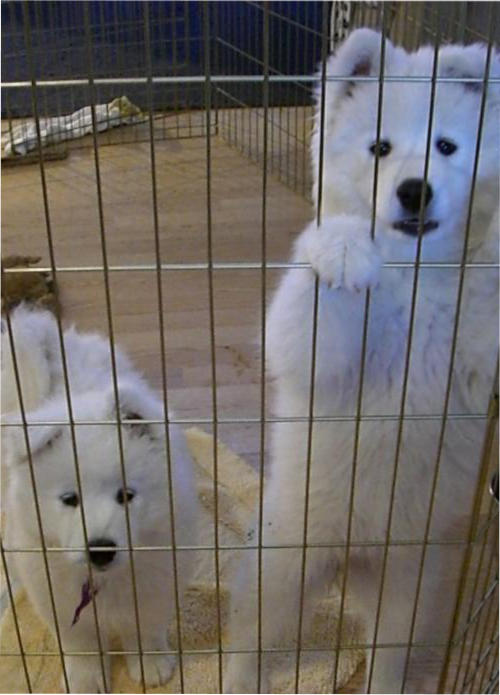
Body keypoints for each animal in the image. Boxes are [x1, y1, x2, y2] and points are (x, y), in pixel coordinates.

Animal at [2, 305, 199, 692]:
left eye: (126, 495)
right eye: (69, 499)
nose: (101, 550)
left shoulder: (157, 580)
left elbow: (145, 628)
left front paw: (152, 667)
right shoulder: (58, 598)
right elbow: (82, 645)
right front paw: (86, 680)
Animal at [224, 29, 499, 693]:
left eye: (447, 146)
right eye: (380, 148)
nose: (414, 190)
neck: (415, 270)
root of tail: (353, 559)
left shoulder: (478, 349)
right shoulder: (321, 357)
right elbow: (315, 295)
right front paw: (344, 249)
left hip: (409, 586)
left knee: (387, 655)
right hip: (281, 570)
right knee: (248, 646)